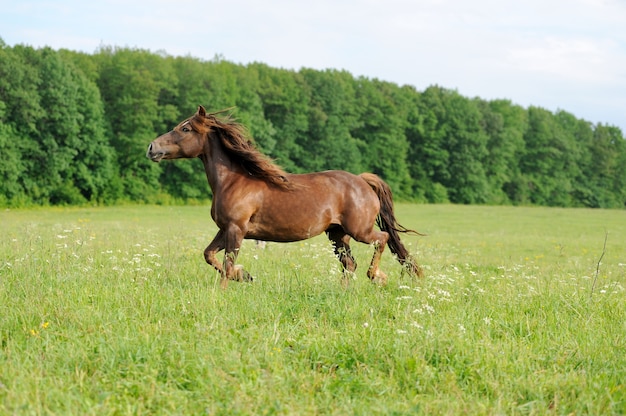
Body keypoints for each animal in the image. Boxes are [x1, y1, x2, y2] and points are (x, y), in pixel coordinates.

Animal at [146, 105, 422, 288]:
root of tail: (363, 180)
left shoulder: (236, 229)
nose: (151, 148)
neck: (234, 181)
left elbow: (226, 264)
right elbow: (209, 255)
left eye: (185, 128)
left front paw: (228, 287)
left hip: (359, 231)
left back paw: (377, 276)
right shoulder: (225, 229)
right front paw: (246, 275)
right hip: (337, 234)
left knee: (381, 239)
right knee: (349, 264)